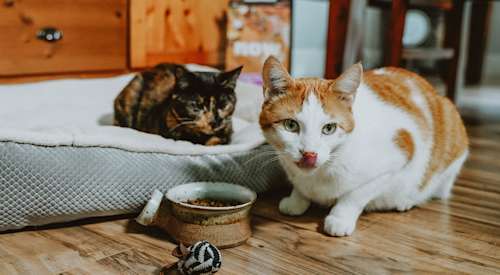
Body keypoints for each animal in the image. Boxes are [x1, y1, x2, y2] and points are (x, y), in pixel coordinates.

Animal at [262, 56, 468, 237]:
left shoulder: (397, 157)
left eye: (329, 128)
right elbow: (299, 187)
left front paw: (340, 218)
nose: (309, 154)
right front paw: (296, 200)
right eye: (291, 125)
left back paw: (406, 200)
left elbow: (355, 195)